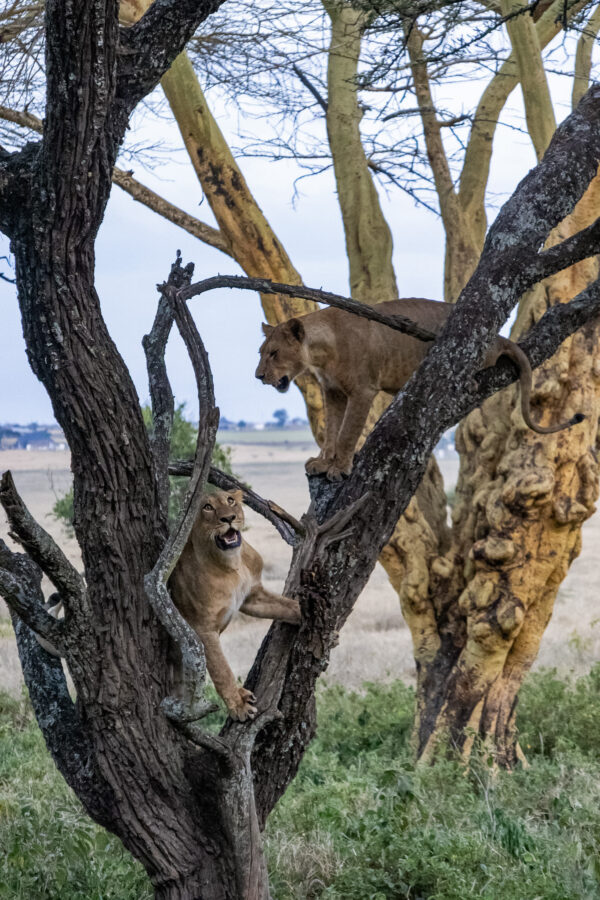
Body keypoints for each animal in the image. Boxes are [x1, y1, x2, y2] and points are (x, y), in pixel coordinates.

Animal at [169, 488, 300, 720]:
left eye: (230, 501)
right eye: (207, 507)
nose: (229, 518)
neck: (232, 565)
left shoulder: (252, 597)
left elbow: (289, 606)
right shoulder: (203, 628)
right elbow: (222, 671)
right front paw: (238, 706)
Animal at [255, 298, 584, 482]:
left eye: (274, 353)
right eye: (261, 352)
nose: (258, 376)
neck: (321, 352)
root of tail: (500, 337)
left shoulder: (362, 390)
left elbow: (347, 433)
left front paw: (339, 468)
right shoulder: (332, 392)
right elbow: (331, 432)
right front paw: (323, 462)